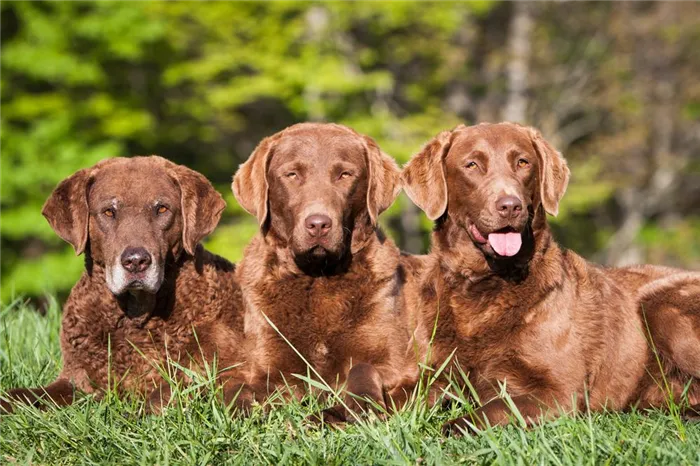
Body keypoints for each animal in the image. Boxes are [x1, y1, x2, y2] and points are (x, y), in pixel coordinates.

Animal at [0, 157, 252, 416]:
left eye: (162, 209)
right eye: (109, 212)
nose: (136, 261)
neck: (133, 317)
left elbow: (170, 390)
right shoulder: (75, 379)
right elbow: (23, 395)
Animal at [232, 122, 418, 420]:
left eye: (344, 174)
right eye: (292, 174)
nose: (318, 224)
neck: (318, 278)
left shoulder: (397, 365)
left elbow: (363, 368)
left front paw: (351, 408)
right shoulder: (267, 365)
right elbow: (248, 391)